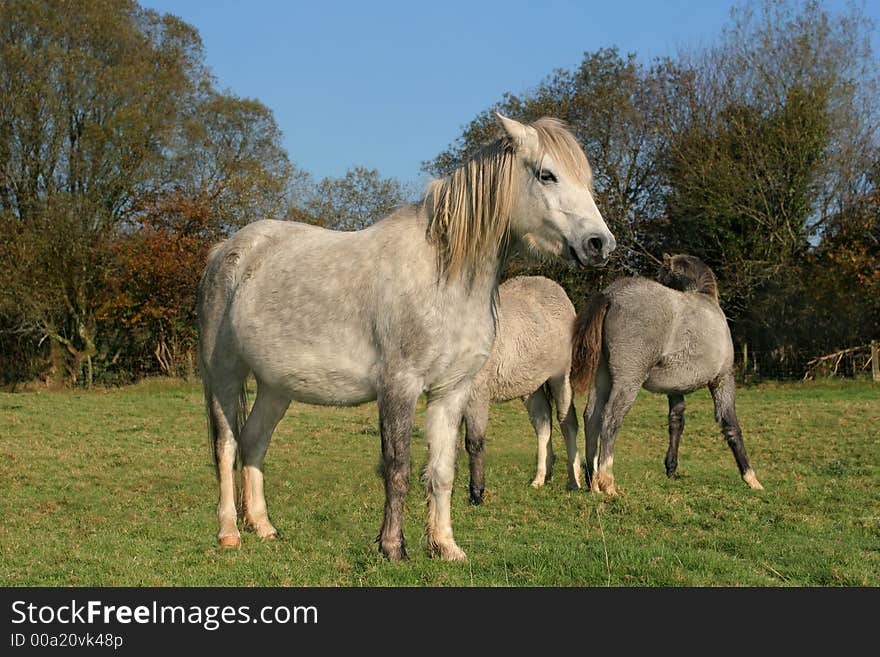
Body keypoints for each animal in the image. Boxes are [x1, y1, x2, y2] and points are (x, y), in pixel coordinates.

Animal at [197, 114, 616, 560]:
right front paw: (393, 547)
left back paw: (263, 527)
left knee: (254, 442)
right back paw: (229, 532)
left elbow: (442, 470)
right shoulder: (399, 387)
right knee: (227, 447)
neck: (443, 276)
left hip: (276, 387)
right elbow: (397, 467)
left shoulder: (451, 391)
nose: (600, 243)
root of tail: (226, 250)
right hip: (224, 376)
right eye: (547, 174)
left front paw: (445, 546)